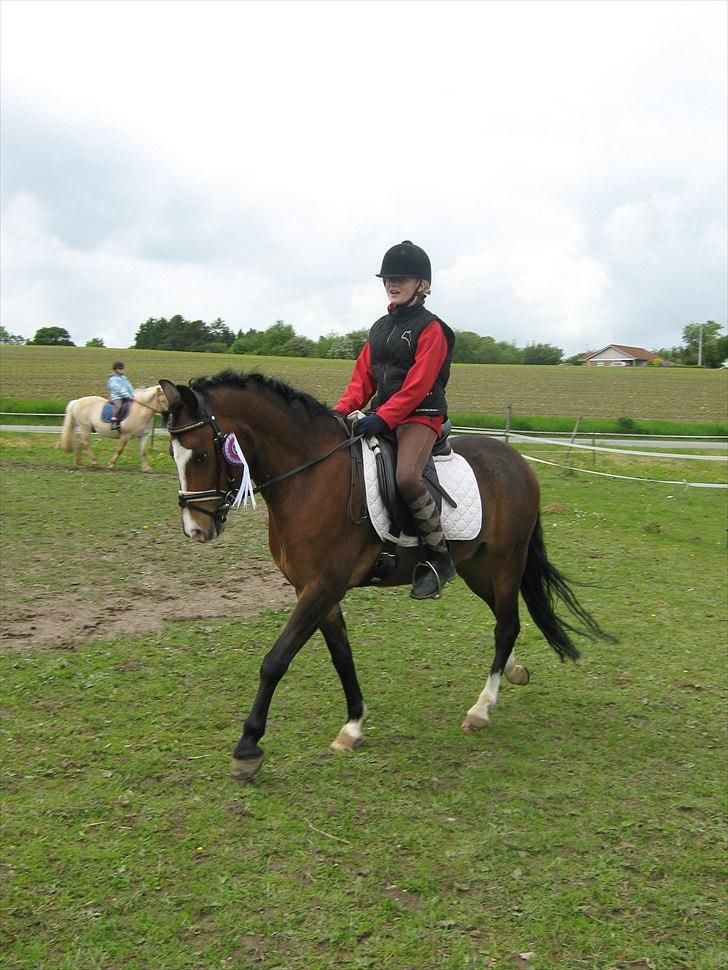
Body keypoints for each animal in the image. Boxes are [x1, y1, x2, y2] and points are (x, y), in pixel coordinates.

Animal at [161, 370, 616, 780]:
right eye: (172, 455)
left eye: (200, 455)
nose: (195, 530)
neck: (310, 476)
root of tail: (517, 462)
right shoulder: (317, 591)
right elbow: (342, 656)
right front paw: (353, 726)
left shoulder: (321, 587)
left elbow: (275, 660)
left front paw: (248, 748)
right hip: (475, 567)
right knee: (507, 620)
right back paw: (513, 672)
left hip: (506, 562)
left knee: (506, 625)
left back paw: (481, 709)